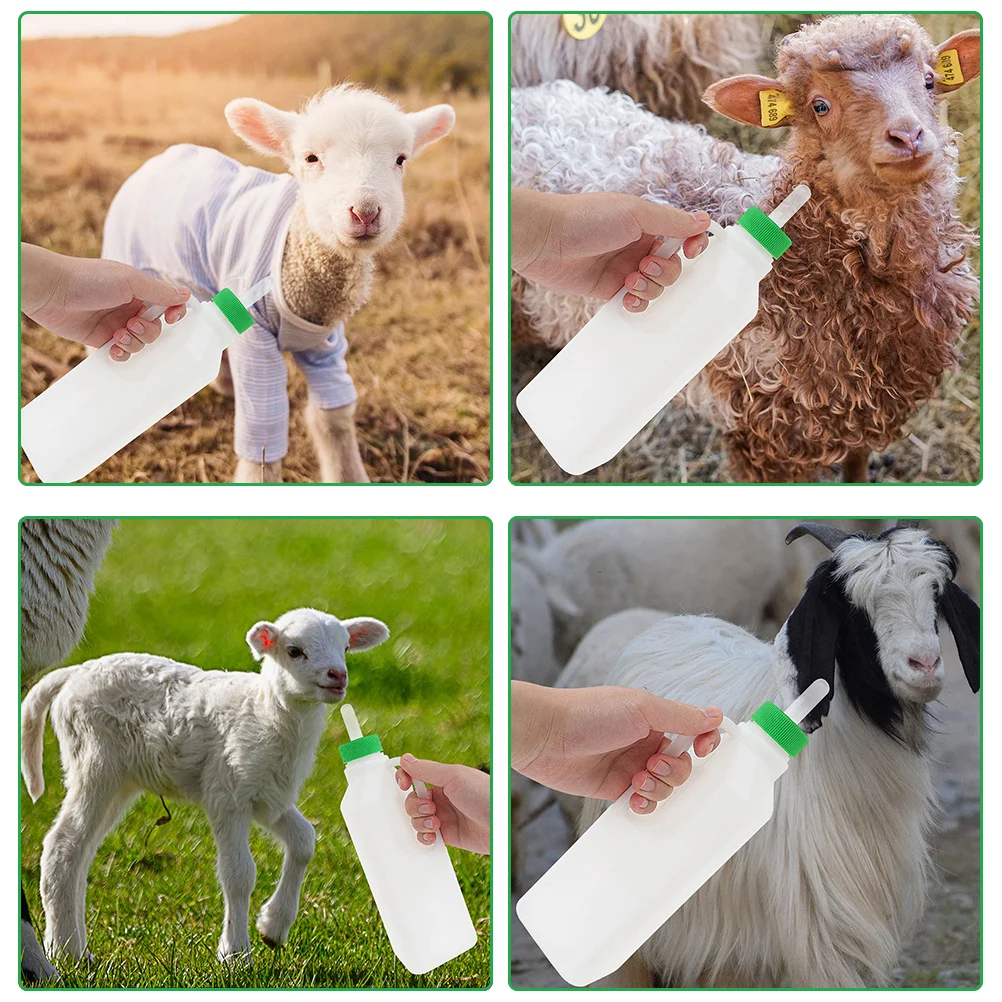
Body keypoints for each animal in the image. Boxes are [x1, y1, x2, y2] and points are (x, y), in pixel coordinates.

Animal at [21, 607, 389, 963]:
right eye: (294, 651)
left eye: (345, 648)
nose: (337, 676)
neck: (266, 713)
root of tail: (73, 674)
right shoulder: (227, 793)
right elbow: (239, 874)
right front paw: (235, 954)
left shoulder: (267, 795)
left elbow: (304, 841)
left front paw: (273, 928)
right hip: (94, 761)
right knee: (62, 844)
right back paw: (65, 949)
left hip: (120, 779)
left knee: (81, 853)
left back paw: (78, 948)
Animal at [102, 85, 455, 483]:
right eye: (310, 158)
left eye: (401, 159)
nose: (365, 213)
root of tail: (159, 159)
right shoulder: (255, 340)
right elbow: (263, 434)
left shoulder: (327, 342)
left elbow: (333, 418)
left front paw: (348, 476)